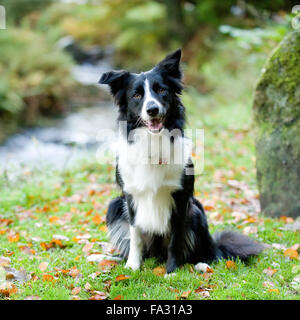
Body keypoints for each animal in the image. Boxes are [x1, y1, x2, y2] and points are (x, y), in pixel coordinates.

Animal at [99, 48, 264, 274]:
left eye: (161, 90)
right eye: (137, 95)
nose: (152, 109)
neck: (154, 142)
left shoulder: (181, 199)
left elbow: (175, 241)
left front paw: (170, 272)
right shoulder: (130, 197)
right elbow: (135, 237)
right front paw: (132, 266)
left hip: (196, 211)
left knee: (210, 252)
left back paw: (203, 263)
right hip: (115, 205)